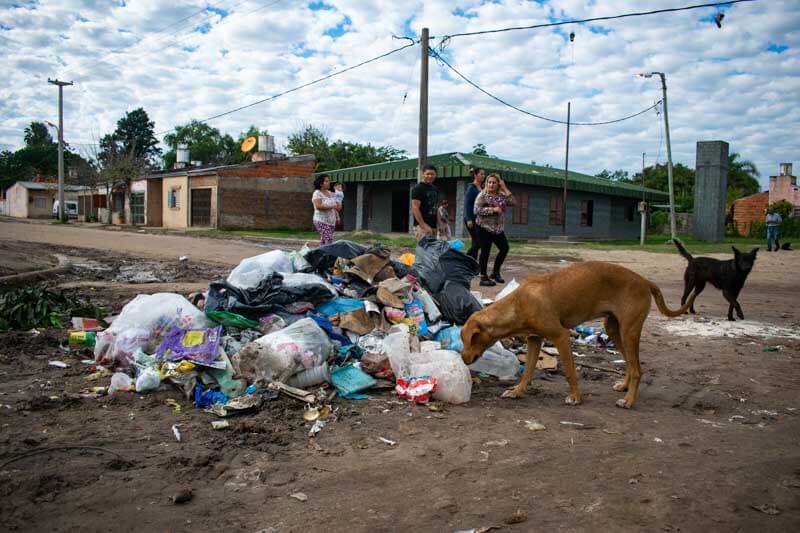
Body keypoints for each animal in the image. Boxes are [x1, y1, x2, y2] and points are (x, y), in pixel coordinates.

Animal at [462, 260, 692, 408]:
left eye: (468, 339)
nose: (463, 359)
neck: (518, 303)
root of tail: (645, 281)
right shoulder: (535, 339)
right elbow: (527, 372)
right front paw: (516, 391)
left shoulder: (561, 337)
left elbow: (570, 372)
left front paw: (574, 397)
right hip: (614, 329)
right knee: (629, 362)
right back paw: (624, 387)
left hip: (629, 331)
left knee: (637, 369)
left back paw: (628, 401)